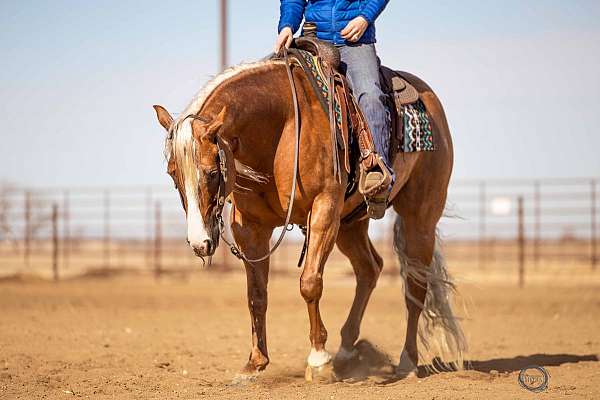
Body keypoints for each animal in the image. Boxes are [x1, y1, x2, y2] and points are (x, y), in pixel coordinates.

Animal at [152, 54, 466, 380]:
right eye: (172, 174)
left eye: (213, 172)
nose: (199, 243)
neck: (281, 129)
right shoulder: (250, 227)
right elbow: (256, 293)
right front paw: (255, 363)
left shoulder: (323, 210)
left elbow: (310, 282)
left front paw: (318, 360)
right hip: (350, 225)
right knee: (370, 268)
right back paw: (347, 350)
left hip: (420, 216)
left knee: (416, 285)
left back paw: (406, 361)